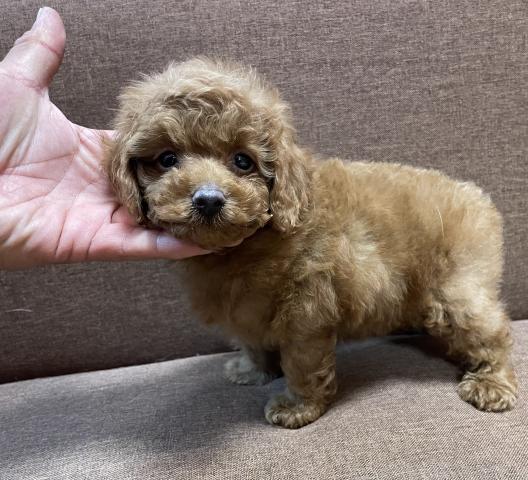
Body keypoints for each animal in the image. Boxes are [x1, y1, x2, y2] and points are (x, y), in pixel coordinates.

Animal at [104, 57, 518, 428]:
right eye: (167, 159)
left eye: (242, 161)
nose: (208, 199)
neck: (248, 244)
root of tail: (477, 196)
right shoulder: (246, 309)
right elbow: (252, 340)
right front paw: (252, 369)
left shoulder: (307, 310)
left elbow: (303, 364)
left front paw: (297, 408)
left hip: (458, 288)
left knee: (492, 332)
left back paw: (492, 383)